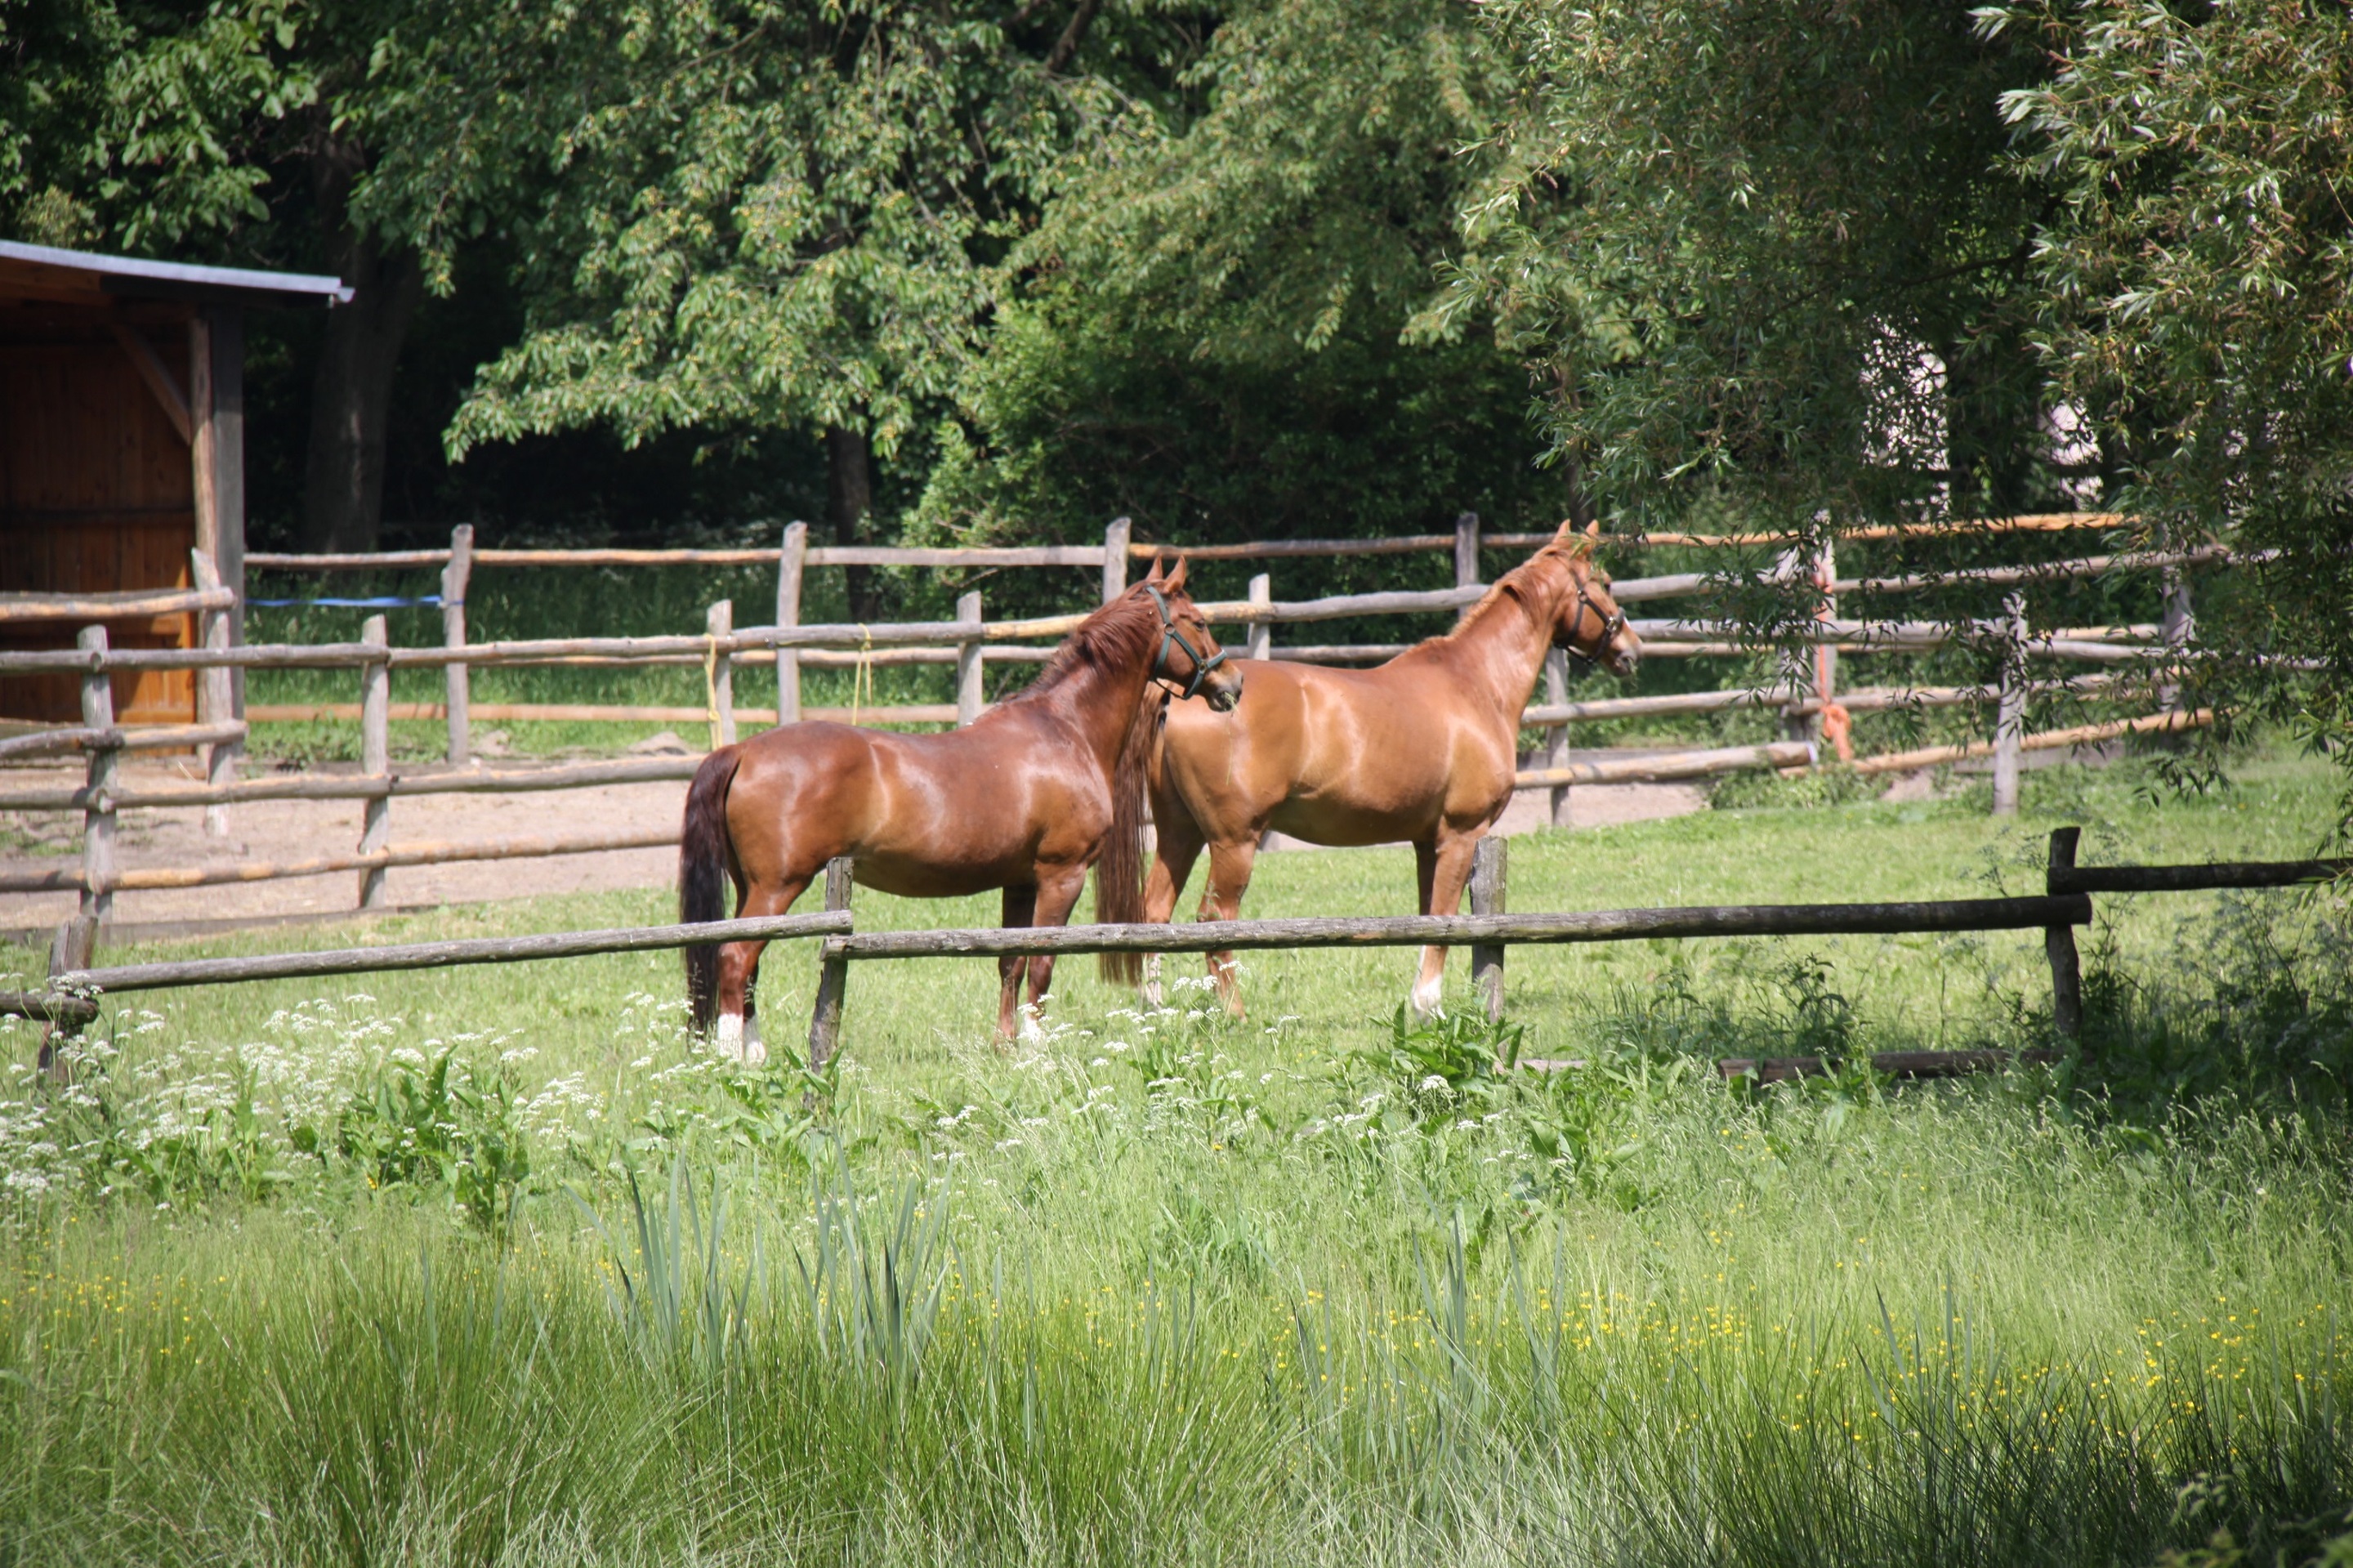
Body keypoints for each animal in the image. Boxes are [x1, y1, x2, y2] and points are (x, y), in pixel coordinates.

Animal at [682, 556, 1242, 1054]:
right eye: (1199, 621)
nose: (1232, 683)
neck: (1066, 729)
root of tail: (743, 750)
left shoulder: (1021, 881)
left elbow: (1011, 960)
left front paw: (1005, 1045)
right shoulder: (1062, 875)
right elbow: (1043, 961)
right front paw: (1037, 1048)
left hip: (752, 891)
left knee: (745, 966)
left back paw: (753, 1053)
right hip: (776, 888)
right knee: (735, 959)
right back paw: (734, 1062)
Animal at [1096, 517, 1637, 1021]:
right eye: (1607, 582)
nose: (1631, 651)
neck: (1476, 685)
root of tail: (1180, 696)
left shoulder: (1426, 841)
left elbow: (1426, 917)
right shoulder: (1460, 834)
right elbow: (1444, 919)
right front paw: (1428, 1005)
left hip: (1179, 832)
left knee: (1155, 911)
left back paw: (1154, 1010)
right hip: (1233, 842)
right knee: (1215, 917)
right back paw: (1235, 1014)